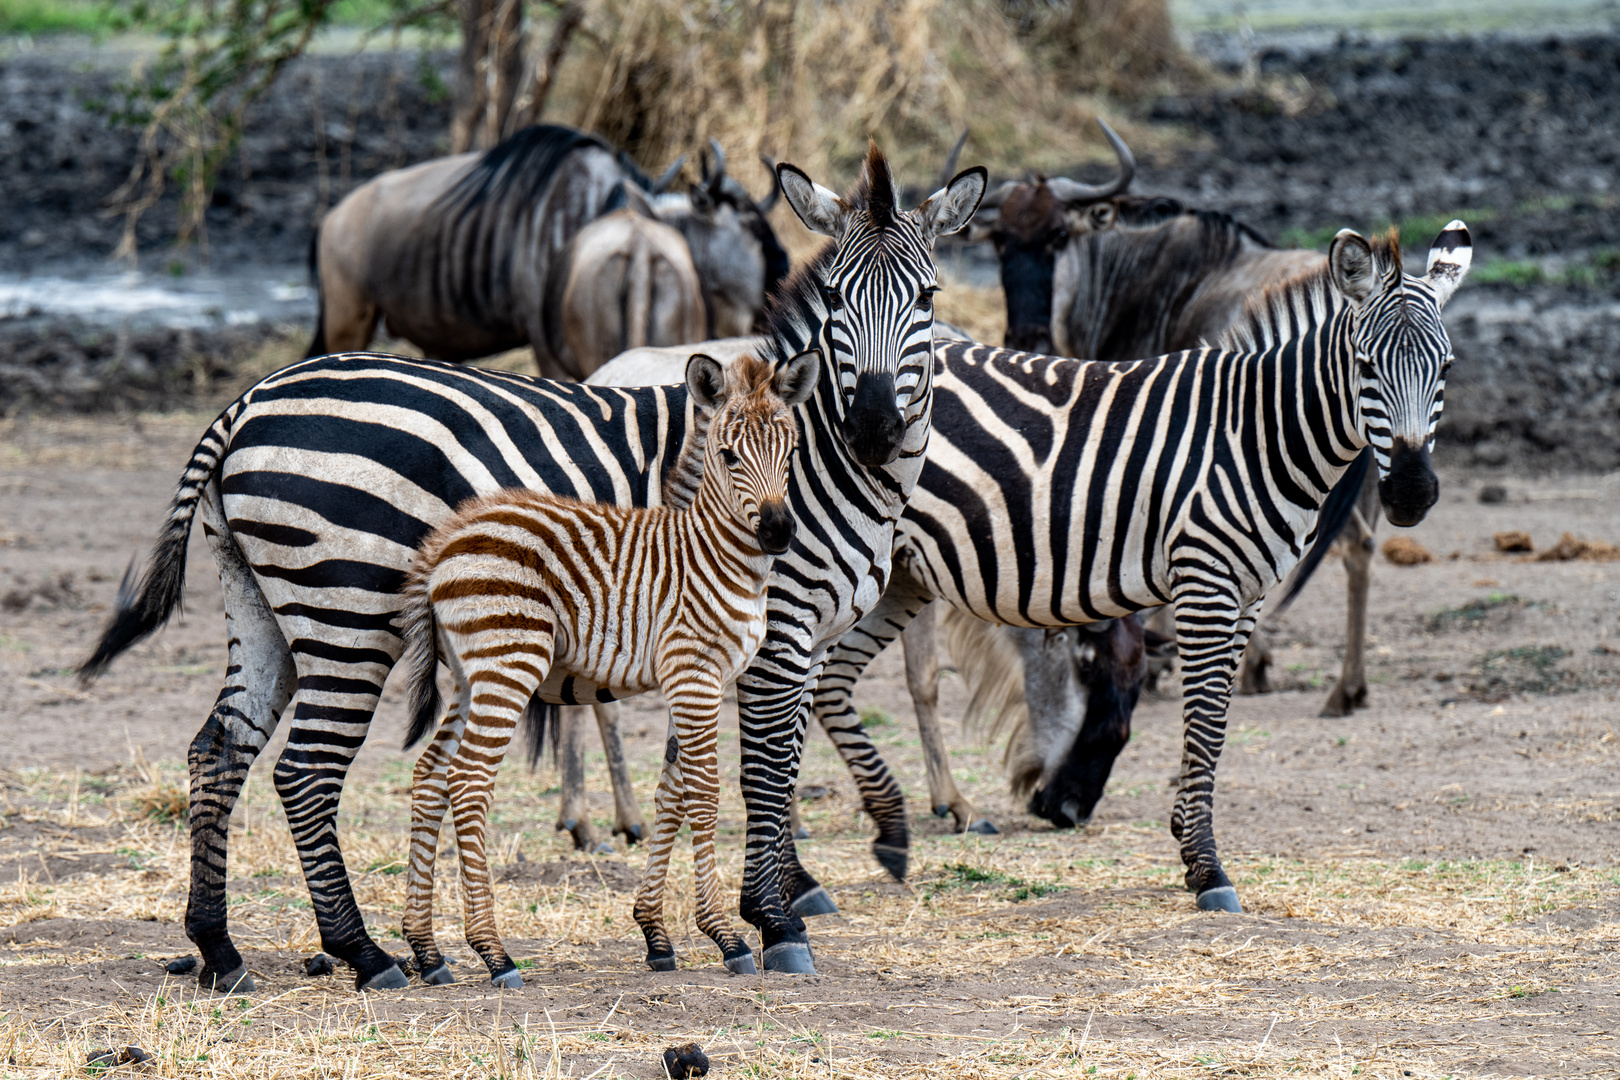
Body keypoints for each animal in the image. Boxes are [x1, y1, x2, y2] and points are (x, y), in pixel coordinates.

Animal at [398, 354, 816, 990]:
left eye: (791, 453)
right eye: (728, 456)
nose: (779, 532)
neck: (712, 555)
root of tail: (444, 541)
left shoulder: (698, 683)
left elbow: (672, 792)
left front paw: (658, 936)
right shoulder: (694, 675)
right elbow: (703, 794)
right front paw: (726, 937)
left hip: (470, 679)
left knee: (428, 777)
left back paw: (427, 951)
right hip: (508, 665)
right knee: (467, 781)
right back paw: (494, 953)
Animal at [810, 221, 1470, 913]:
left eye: (1447, 367)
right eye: (1365, 366)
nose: (1412, 493)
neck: (1256, 433)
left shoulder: (1250, 593)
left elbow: (1217, 721)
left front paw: (1187, 838)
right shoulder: (1204, 582)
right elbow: (1204, 720)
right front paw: (1207, 869)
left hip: (899, 574)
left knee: (825, 683)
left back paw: (884, 840)